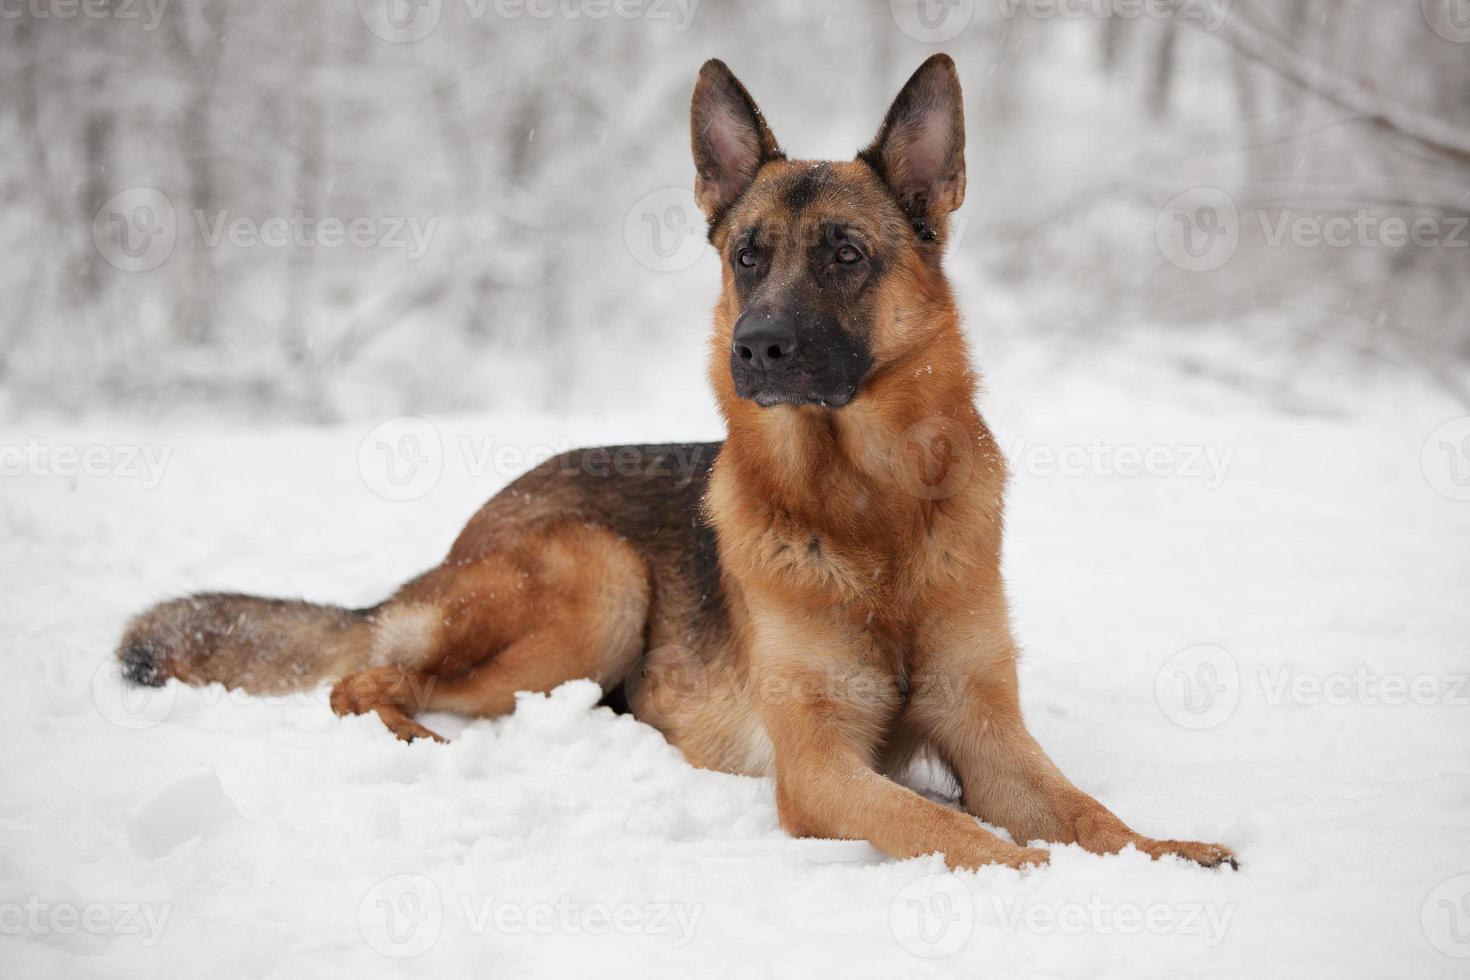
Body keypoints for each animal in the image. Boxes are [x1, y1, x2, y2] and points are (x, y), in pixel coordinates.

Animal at [120, 55, 1234, 875]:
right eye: (747, 254)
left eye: (844, 253)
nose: (758, 347)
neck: (868, 511)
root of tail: (467, 531)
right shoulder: (819, 768)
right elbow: (947, 824)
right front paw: (1028, 873)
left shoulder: (987, 731)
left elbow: (1084, 810)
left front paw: (1163, 853)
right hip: (596, 578)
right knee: (362, 679)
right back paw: (431, 742)